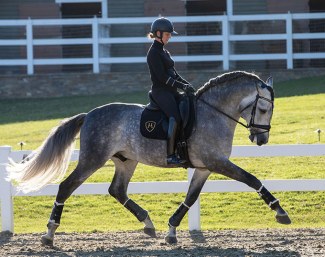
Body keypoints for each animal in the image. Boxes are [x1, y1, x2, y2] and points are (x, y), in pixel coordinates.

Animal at [7, 70, 290, 244]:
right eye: (263, 109)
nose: (261, 140)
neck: (214, 113)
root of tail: (89, 115)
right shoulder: (217, 163)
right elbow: (252, 179)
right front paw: (280, 211)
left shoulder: (204, 168)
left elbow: (191, 198)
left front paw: (172, 230)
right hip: (92, 159)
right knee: (66, 187)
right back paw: (49, 234)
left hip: (126, 161)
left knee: (117, 190)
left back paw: (148, 222)